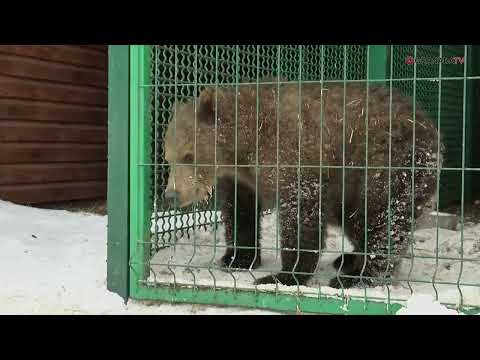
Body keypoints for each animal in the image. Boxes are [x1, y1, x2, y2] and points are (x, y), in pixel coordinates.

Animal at [162, 80, 442, 288]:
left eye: (189, 155)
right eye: (168, 157)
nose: (171, 194)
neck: (241, 147)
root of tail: (432, 128)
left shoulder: (294, 156)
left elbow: (300, 214)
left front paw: (284, 274)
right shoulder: (241, 179)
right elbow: (240, 213)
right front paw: (237, 258)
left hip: (385, 163)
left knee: (382, 217)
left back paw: (357, 277)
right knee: (359, 221)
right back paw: (347, 260)